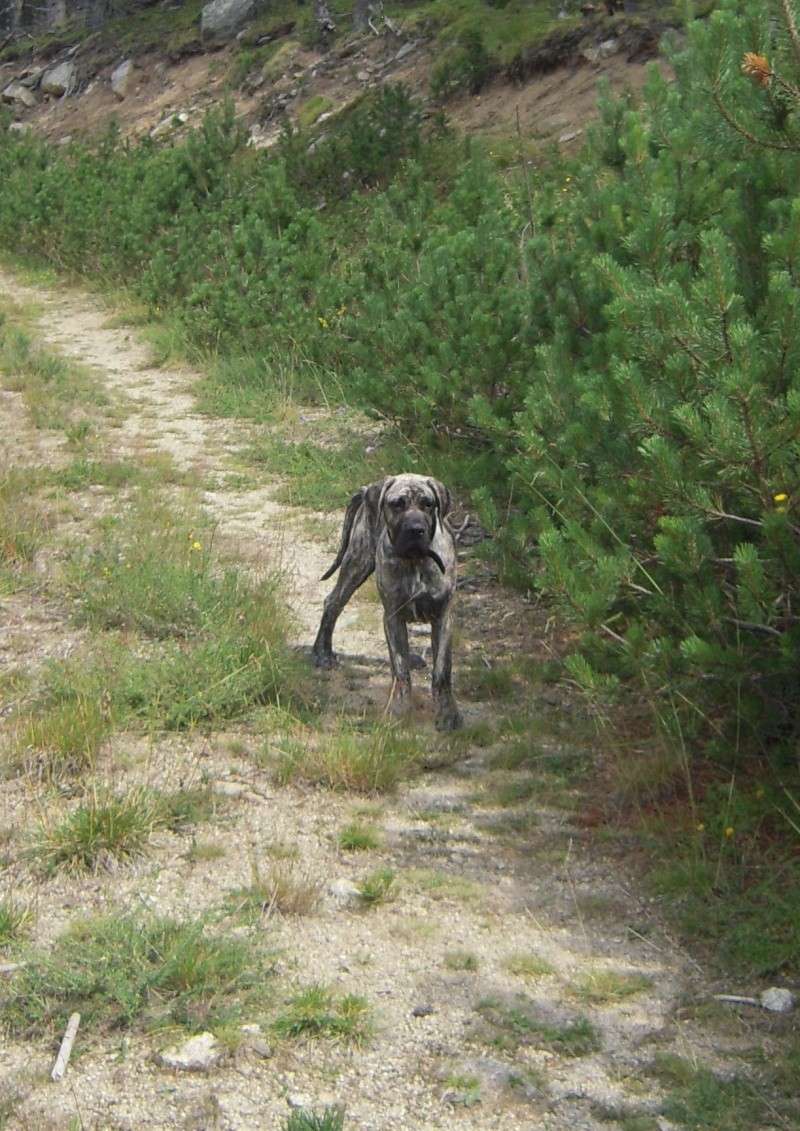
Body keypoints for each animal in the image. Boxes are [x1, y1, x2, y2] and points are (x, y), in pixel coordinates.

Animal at [312, 470, 463, 728]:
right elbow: (399, 669)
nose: (415, 529)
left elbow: (442, 671)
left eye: (428, 504)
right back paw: (322, 653)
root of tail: (366, 490)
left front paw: (447, 713)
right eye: (397, 504)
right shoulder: (392, 615)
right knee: (332, 603)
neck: (415, 561)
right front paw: (399, 709)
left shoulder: (443, 617)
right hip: (358, 562)